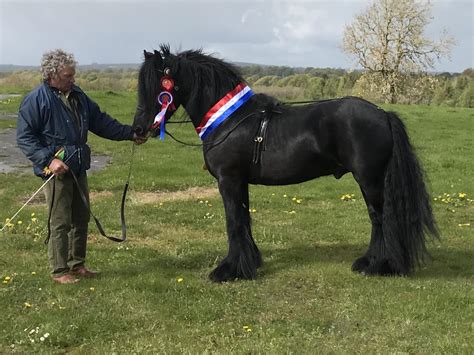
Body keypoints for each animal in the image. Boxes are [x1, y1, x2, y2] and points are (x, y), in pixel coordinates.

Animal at [132, 45, 436, 284]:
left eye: (158, 87)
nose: (138, 129)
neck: (229, 120)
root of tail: (383, 114)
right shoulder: (240, 182)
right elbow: (244, 220)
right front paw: (250, 264)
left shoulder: (229, 180)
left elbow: (234, 222)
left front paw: (229, 271)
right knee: (377, 220)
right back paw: (369, 262)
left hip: (370, 180)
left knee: (381, 219)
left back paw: (380, 266)